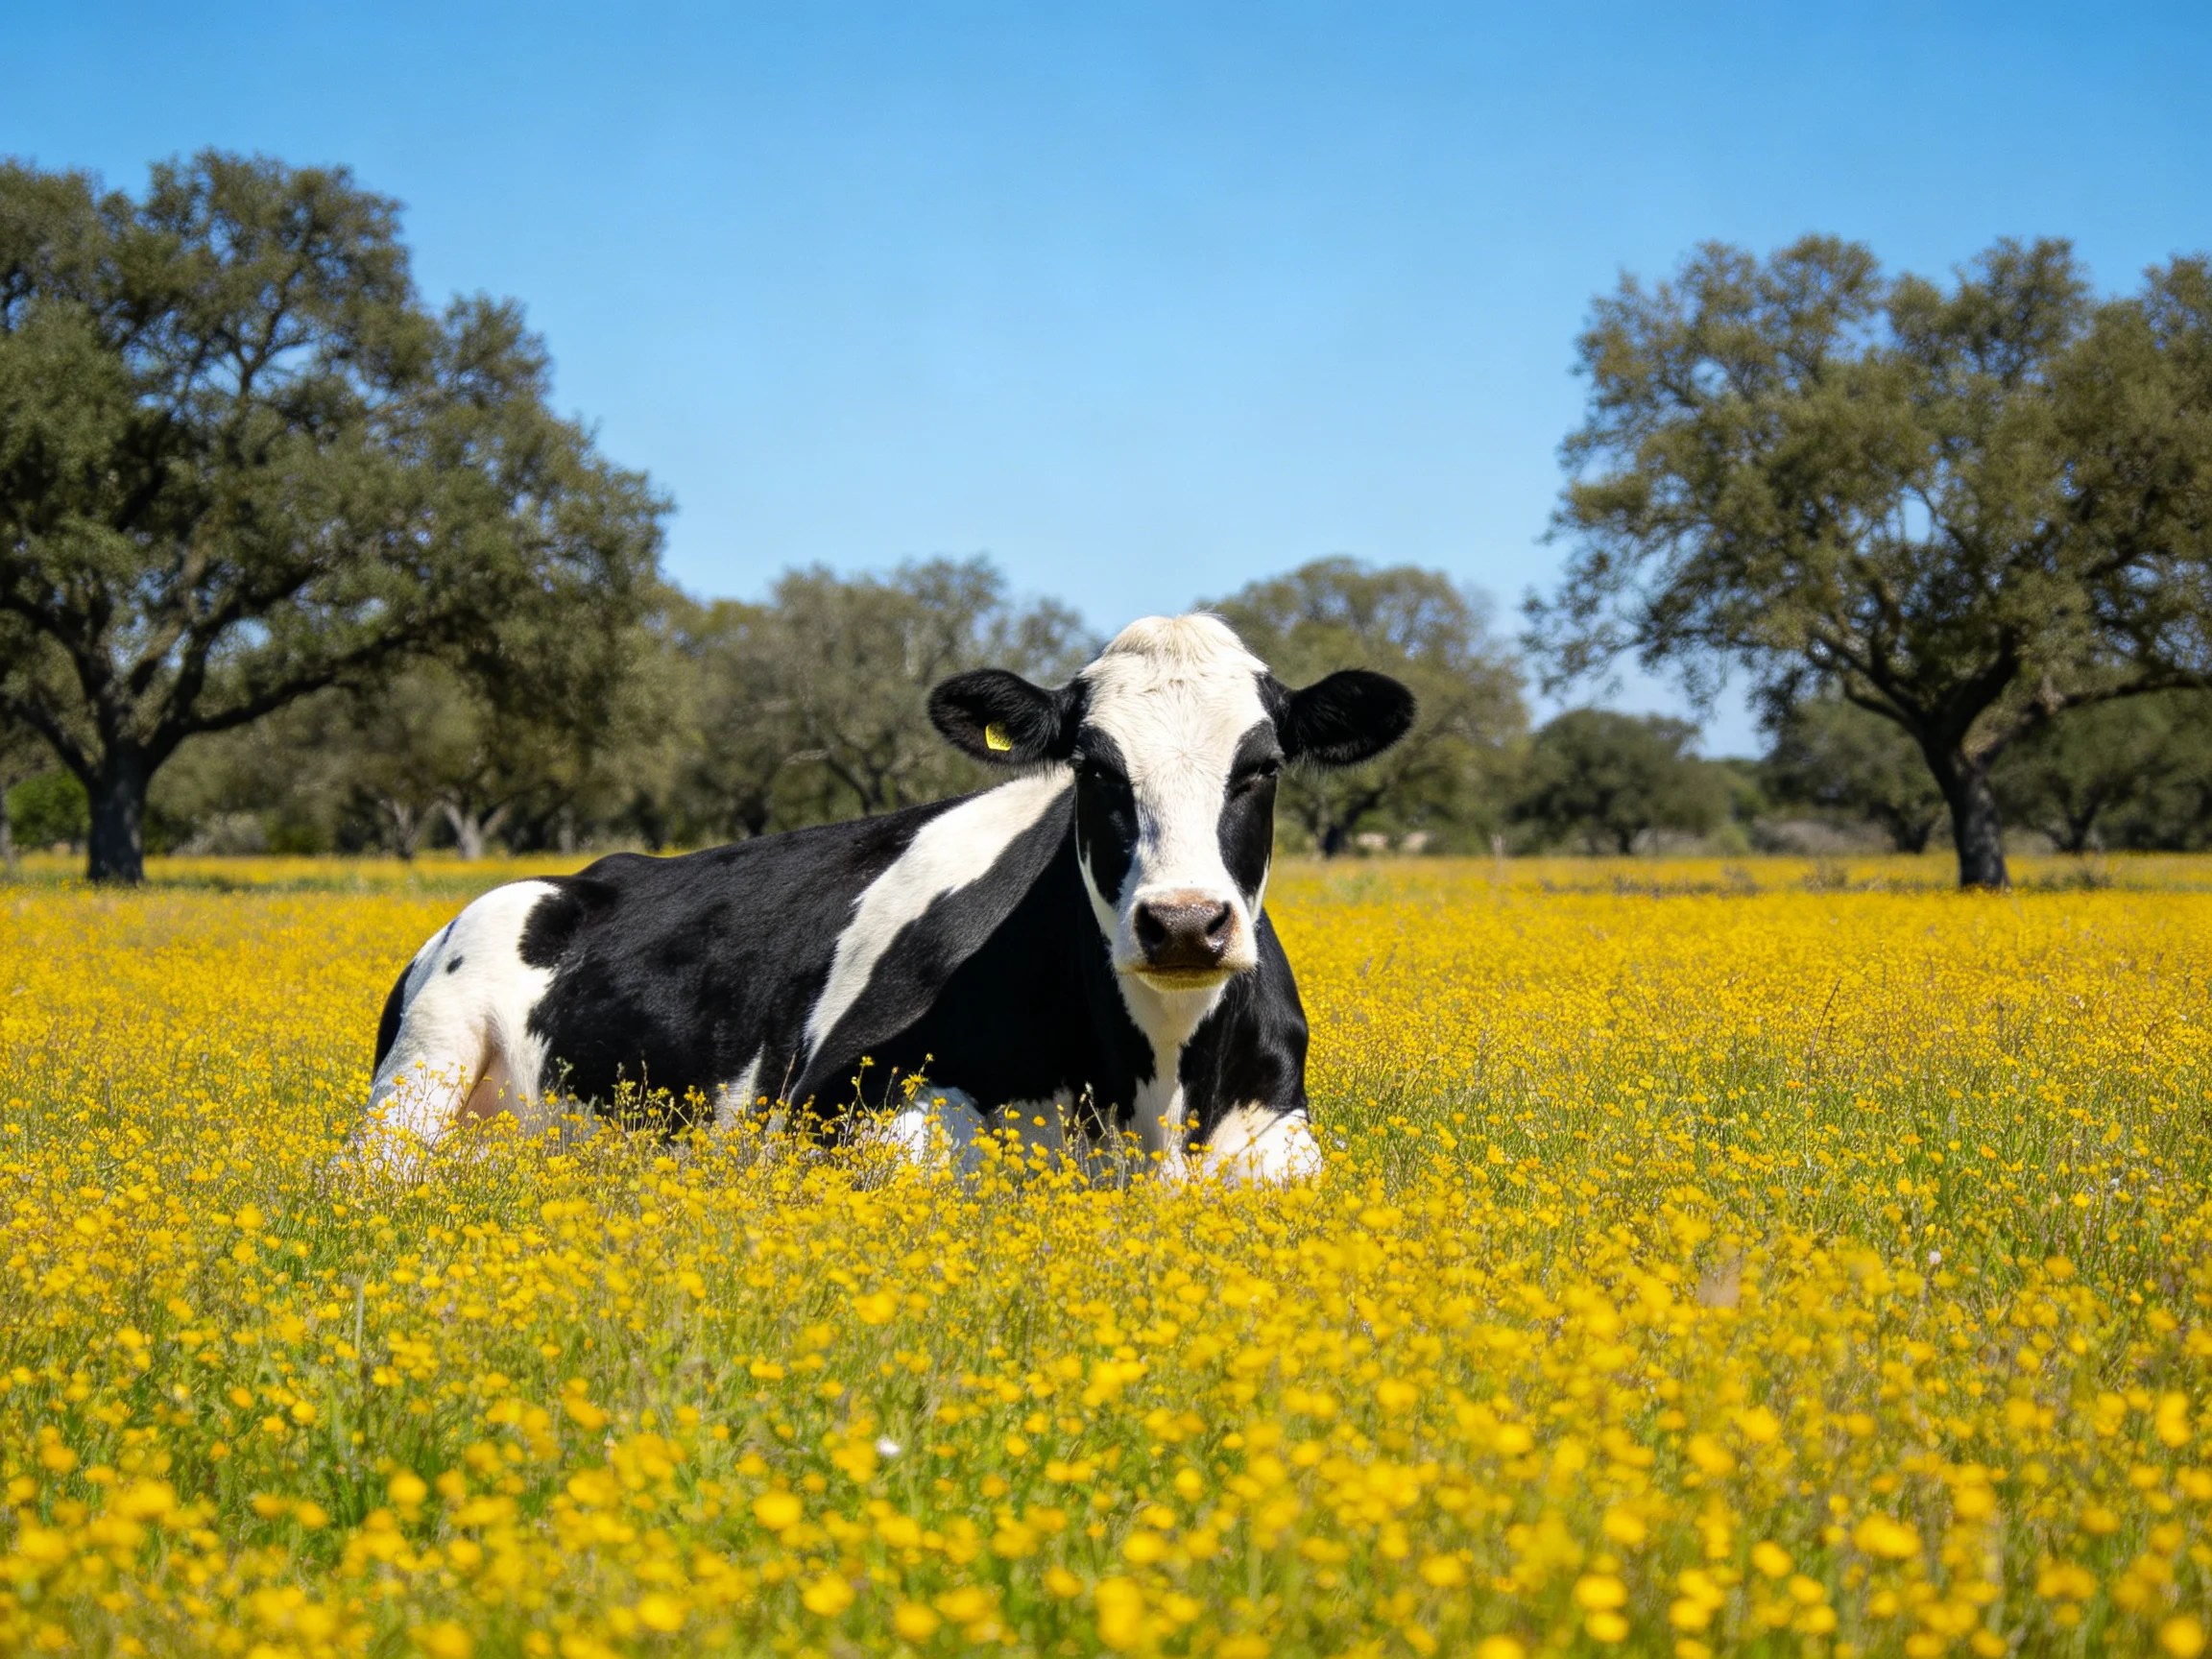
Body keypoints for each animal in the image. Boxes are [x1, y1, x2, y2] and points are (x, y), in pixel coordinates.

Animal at [359, 614, 1414, 1180]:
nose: (1185, 923)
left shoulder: (1282, 1129)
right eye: (1093, 766)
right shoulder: (834, 1105)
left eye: (1263, 766)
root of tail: (587, 876)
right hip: (421, 1069)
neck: (1157, 1091)